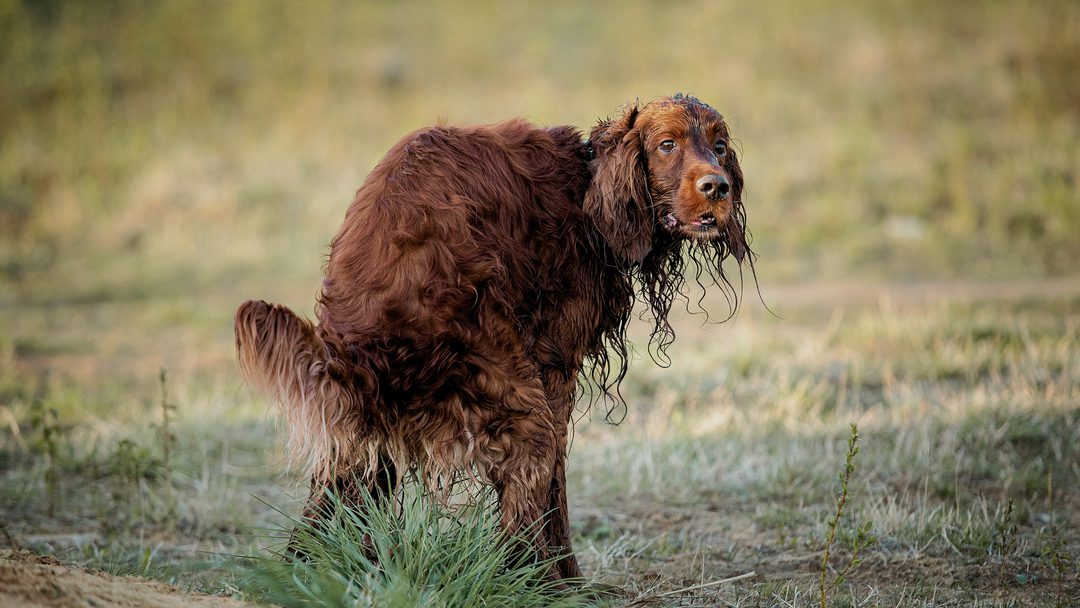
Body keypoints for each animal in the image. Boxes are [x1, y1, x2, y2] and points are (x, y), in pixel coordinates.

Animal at [234, 93, 751, 578]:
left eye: (720, 146)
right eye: (667, 145)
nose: (717, 187)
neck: (587, 187)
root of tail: (359, 346)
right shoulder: (554, 367)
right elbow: (556, 488)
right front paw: (571, 583)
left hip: (366, 423)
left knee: (339, 489)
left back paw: (307, 571)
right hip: (513, 396)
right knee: (524, 498)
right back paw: (541, 583)